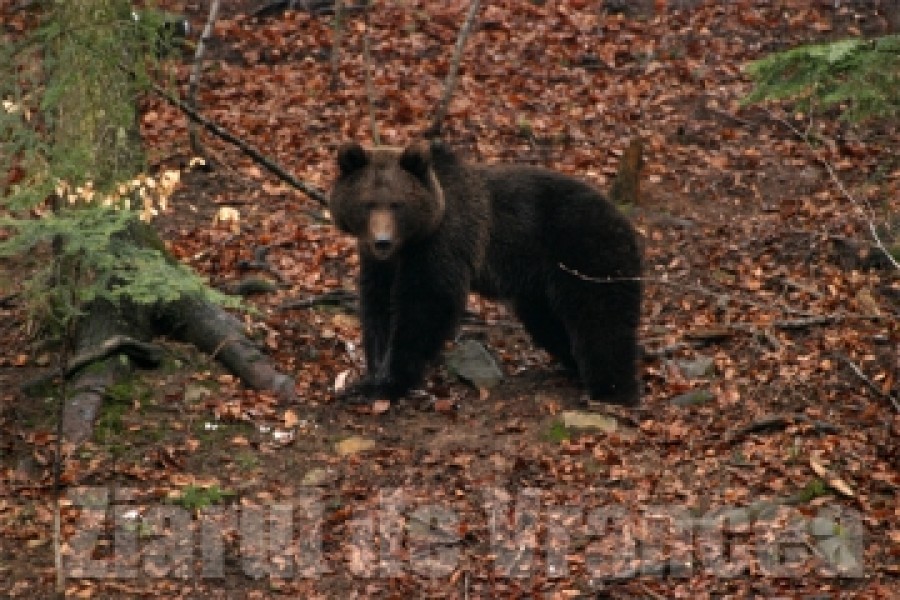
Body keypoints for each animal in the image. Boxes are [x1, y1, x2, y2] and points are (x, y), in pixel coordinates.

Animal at [328, 138, 640, 406]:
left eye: (397, 204)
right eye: (367, 203)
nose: (383, 240)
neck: (410, 242)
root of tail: (622, 217)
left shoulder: (445, 240)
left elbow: (426, 303)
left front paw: (391, 382)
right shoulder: (379, 262)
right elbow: (378, 306)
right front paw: (369, 378)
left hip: (584, 250)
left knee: (601, 317)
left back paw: (613, 391)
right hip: (539, 284)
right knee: (549, 322)